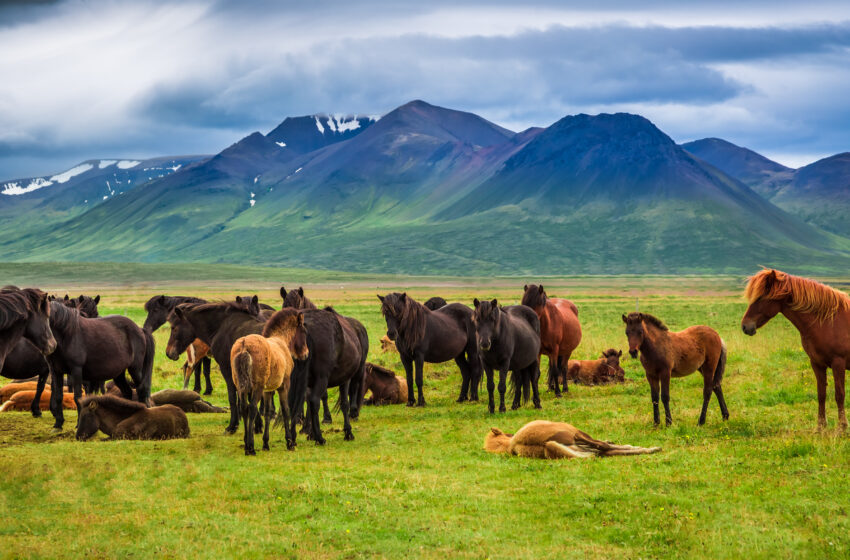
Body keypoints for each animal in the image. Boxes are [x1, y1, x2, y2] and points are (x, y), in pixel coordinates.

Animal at [165, 297, 267, 434]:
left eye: (174, 328)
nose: (168, 353)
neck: (221, 327)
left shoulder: (227, 369)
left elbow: (232, 397)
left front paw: (232, 426)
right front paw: (257, 425)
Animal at [230, 309, 308, 455]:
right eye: (304, 331)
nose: (305, 354)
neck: (280, 341)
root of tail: (244, 345)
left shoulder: (267, 391)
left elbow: (267, 413)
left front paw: (265, 443)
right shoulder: (284, 386)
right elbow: (285, 410)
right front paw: (289, 442)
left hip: (241, 387)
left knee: (244, 408)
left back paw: (246, 442)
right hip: (257, 387)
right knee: (252, 408)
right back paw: (250, 447)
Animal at [289, 307, 368, 445]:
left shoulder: (309, 383)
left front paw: (310, 433)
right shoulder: (344, 379)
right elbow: (344, 403)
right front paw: (348, 432)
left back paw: (292, 439)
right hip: (322, 378)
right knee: (314, 401)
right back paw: (320, 438)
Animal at [742, 269, 850, 429]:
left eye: (760, 297)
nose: (745, 326)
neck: (827, 320)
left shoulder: (838, 363)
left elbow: (839, 394)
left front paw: (841, 427)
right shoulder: (817, 363)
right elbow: (821, 394)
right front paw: (820, 427)